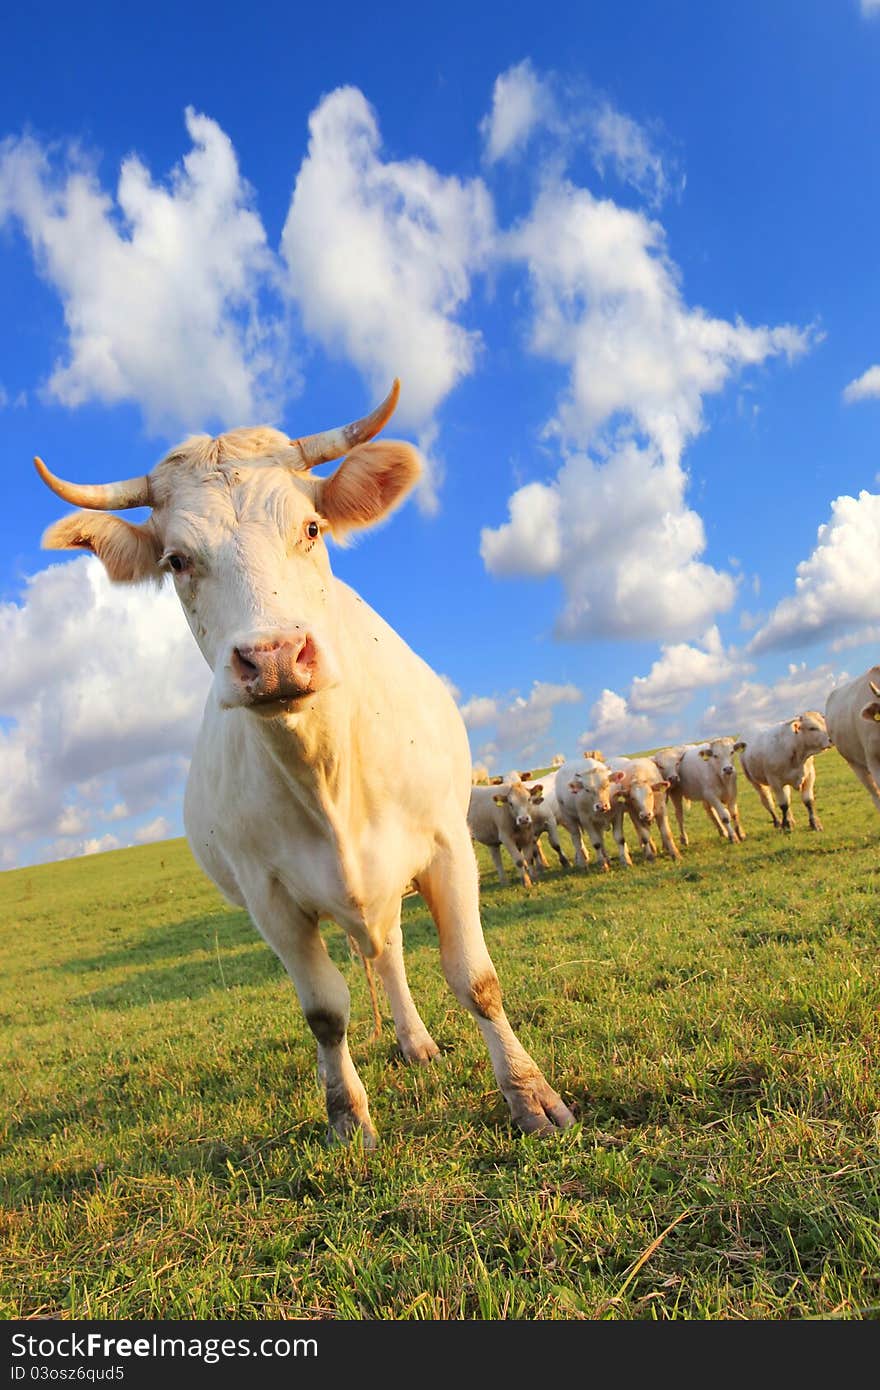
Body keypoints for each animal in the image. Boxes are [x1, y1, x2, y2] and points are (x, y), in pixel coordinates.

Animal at [34, 378, 572, 1139]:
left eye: (312, 528)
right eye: (177, 560)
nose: (274, 657)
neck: (326, 770)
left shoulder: (448, 847)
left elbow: (475, 978)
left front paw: (530, 1096)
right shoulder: (270, 900)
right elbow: (324, 1011)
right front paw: (347, 1117)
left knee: (393, 953)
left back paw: (418, 1042)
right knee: (379, 958)